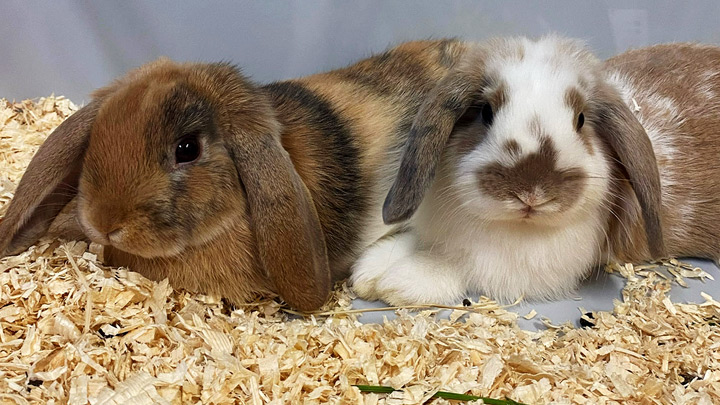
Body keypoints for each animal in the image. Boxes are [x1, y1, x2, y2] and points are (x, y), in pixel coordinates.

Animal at [350, 36, 720, 304]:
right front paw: (369, 273)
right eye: (485, 112)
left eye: (580, 120)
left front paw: (397, 283)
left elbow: (460, 265)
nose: (531, 192)